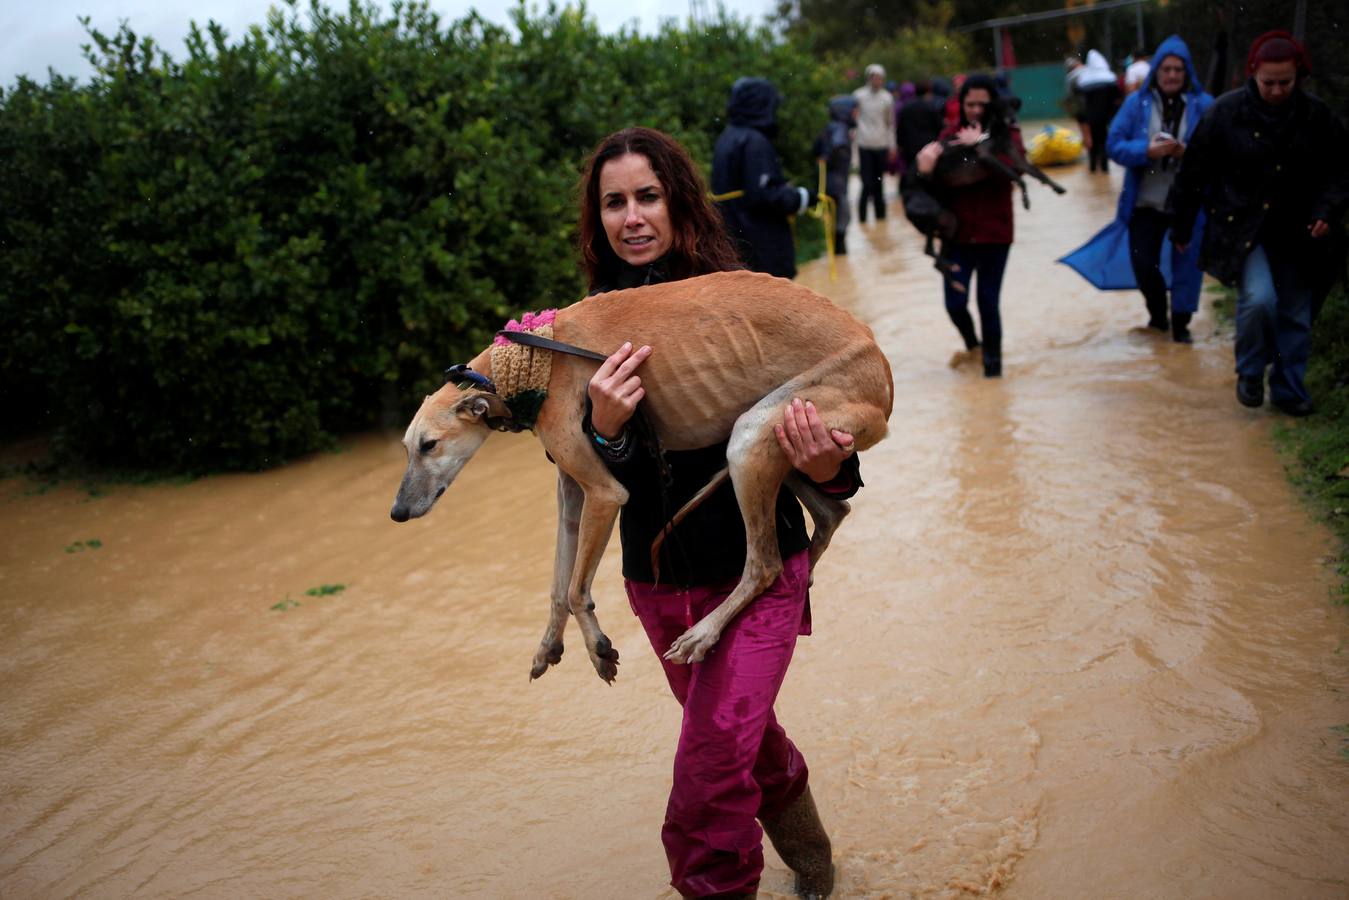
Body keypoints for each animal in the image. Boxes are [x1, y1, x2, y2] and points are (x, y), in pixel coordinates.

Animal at [388, 271, 895, 680]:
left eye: (429, 444)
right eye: (407, 449)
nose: (397, 512)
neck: (530, 361)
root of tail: (879, 362)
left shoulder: (605, 492)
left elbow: (575, 588)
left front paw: (599, 650)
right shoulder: (572, 494)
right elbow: (557, 584)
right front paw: (548, 646)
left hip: (753, 434)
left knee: (765, 564)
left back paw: (702, 635)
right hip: (778, 435)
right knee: (832, 510)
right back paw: (804, 571)